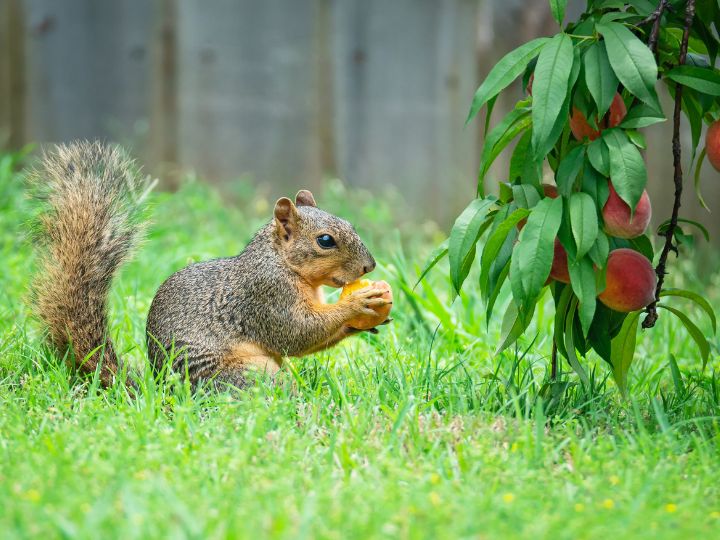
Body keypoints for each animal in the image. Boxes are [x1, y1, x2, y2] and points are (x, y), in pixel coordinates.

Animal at [28, 141, 390, 390]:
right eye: (325, 240)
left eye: (350, 223)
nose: (369, 266)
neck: (282, 262)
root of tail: (165, 393)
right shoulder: (266, 296)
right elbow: (296, 333)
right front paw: (358, 303)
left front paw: (364, 322)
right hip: (246, 374)